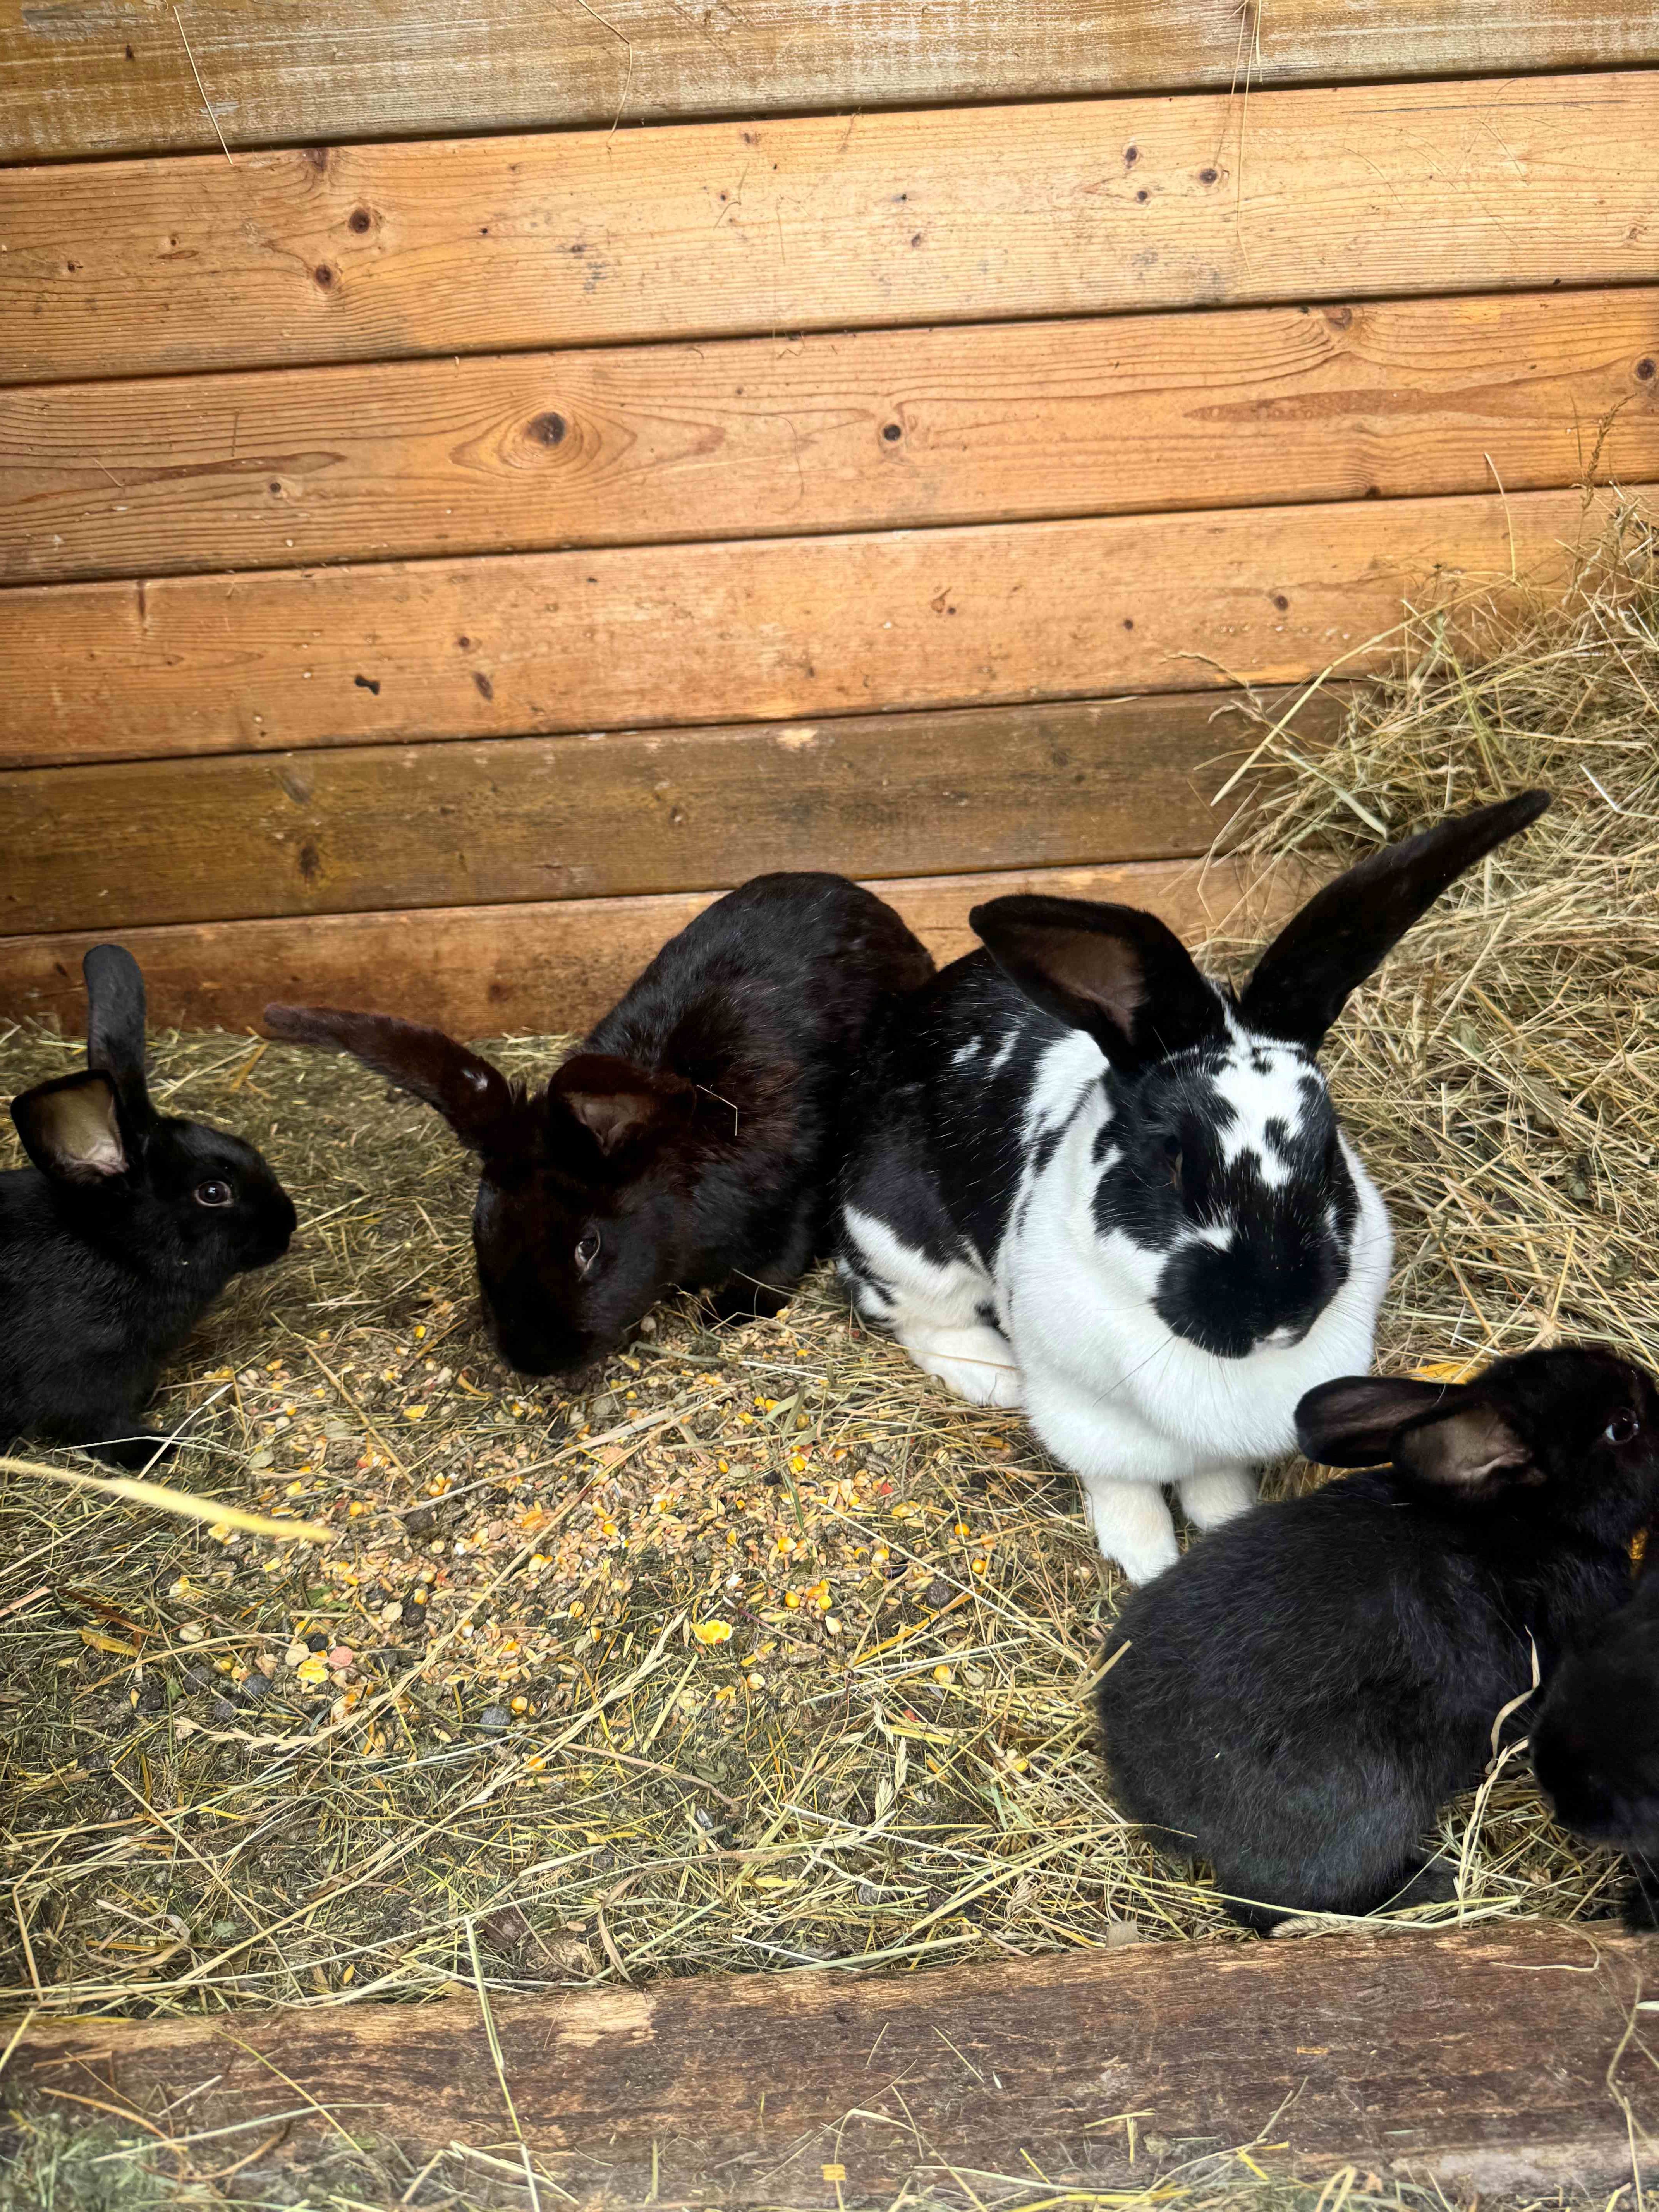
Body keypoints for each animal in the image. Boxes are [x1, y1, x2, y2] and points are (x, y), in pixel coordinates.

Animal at [0, 946, 297, 1470]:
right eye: (213, 1192)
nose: (289, 1226)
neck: (117, 1250)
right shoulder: (81, 1377)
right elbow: (99, 1429)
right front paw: (155, 1447)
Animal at [265, 872, 935, 1379]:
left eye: (588, 1246)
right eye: (481, 1235)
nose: (533, 1360)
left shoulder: (800, 1180)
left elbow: (782, 1254)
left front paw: (733, 1311)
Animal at [835, 790, 1550, 1583]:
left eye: (1328, 1151)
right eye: (1172, 1160)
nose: (1275, 1314)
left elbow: (1211, 1478)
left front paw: (1222, 1515)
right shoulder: (1085, 1413)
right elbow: (1123, 1484)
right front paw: (1145, 1557)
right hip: (900, 1243)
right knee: (914, 1316)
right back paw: (992, 1376)